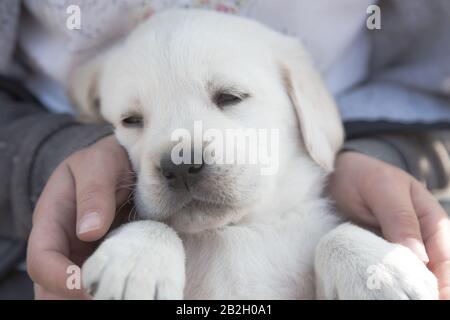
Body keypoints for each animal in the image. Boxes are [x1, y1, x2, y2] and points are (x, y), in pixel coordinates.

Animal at [68, 10, 438, 300]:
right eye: (131, 120)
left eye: (230, 97)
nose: (181, 166)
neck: (235, 231)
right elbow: (156, 224)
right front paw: (135, 261)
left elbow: (336, 234)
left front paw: (380, 269)